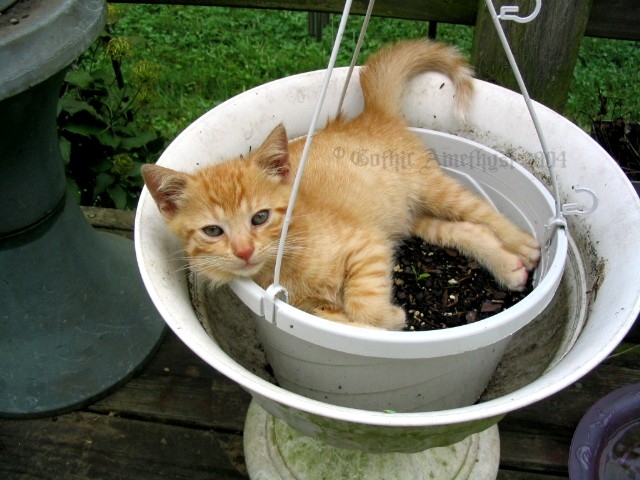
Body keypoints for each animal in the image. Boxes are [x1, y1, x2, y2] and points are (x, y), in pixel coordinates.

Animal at [141, 40, 540, 330]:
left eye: (260, 217)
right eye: (212, 231)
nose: (243, 251)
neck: (288, 256)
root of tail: (370, 115)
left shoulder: (366, 244)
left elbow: (363, 306)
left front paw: (391, 317)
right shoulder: (311, 306)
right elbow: (341, 320)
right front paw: (381, 321)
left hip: (429, 187)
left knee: (480, 211)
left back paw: (523, 245)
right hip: (404, 216)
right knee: (462, 230)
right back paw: (510, 266)